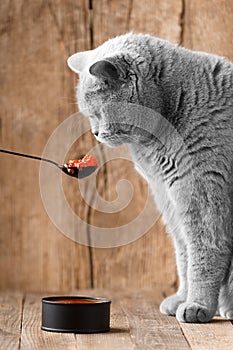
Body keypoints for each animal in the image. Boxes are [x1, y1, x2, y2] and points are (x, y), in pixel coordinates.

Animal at [67, 32, 233, 322]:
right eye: (89, 116)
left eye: (98, 113)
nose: (96, 133)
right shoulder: (168, 199)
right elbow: (183, 252)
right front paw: (181, 299)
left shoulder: (202, 190)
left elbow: (203, 252)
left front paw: (196, 305)